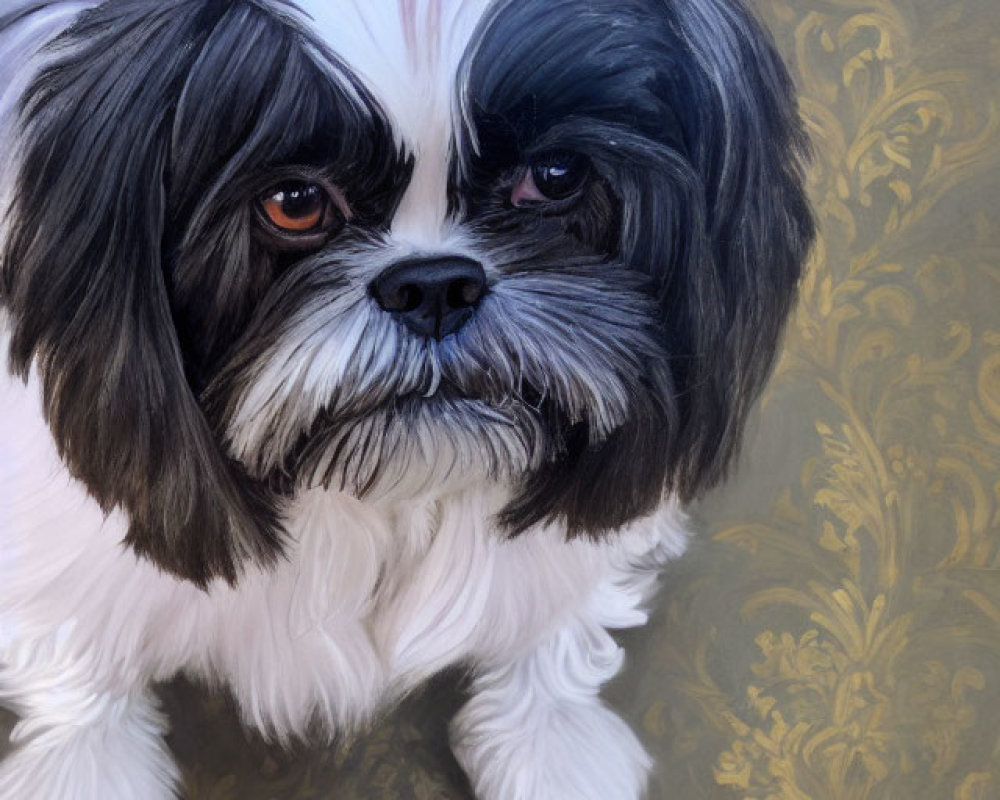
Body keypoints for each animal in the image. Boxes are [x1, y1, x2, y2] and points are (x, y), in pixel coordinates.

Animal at [0, 1, 812, 800]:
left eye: (555, 175)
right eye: (294, 202)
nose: (434, 285)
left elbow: (557, 622)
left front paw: (549, 742)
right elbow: (80, 670)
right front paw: (84, 768)